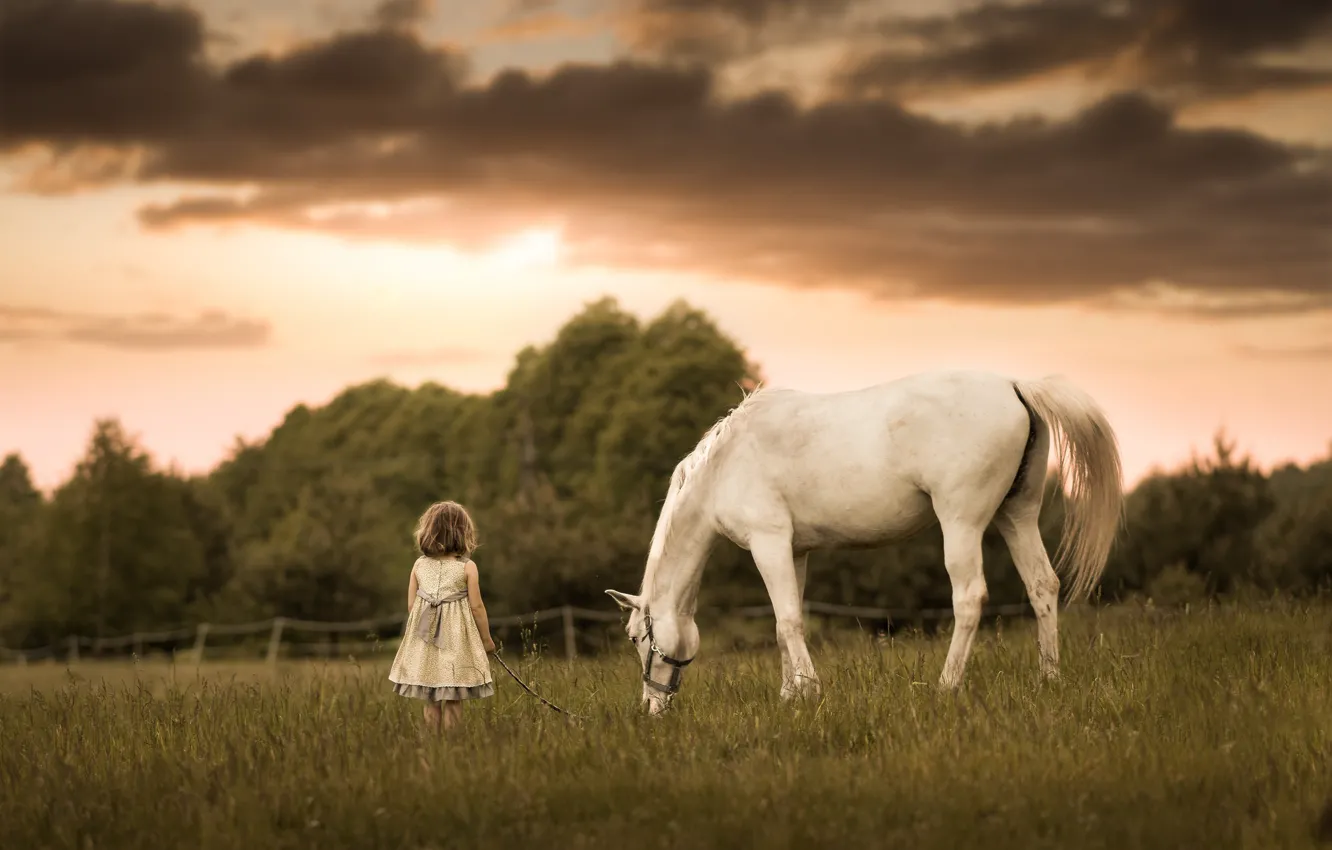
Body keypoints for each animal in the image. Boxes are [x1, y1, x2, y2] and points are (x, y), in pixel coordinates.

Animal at [610, 370, 1118, 714]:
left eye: (636, 636)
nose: (651, 708)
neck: (725, 464)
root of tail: (1014, 386)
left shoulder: (769, 543)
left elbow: (789, 622)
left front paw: (808, 690)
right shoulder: (794, 551)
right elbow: (782, 624)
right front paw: (789, 694)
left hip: (962, 522)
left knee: (969, 597)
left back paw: (946, 685)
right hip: (1018, 515)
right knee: (1042, 586)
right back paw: (1048, 678)